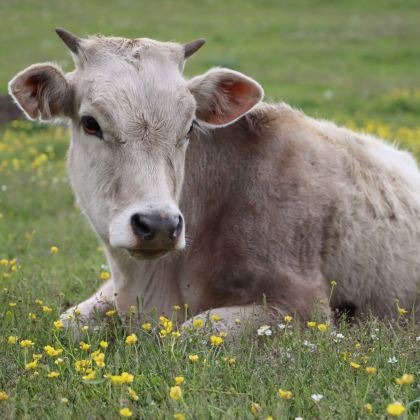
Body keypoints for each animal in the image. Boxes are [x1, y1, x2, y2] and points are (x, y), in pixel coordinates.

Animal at [7, 29, 420, 334]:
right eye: (90, 123)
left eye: (190, 126)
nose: (158, 224)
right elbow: (67, 324)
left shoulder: (304, 305)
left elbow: (194, 332)